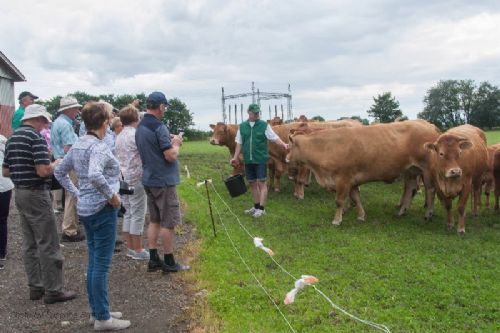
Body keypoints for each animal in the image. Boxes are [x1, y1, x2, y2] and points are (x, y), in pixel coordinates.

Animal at [288, 118, 440, 224]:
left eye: (290, 146)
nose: (286, 158)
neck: (328, 146)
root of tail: (429, 125)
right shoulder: (352, 181)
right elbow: (356, 198)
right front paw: (361, 216)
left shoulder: (343, 179)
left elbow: (339, 201)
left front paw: (337, 220)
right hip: (411, 170)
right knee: (410, 188)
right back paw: (402, 211)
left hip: (427, 170)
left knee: (430, 190)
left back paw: (428, 213)